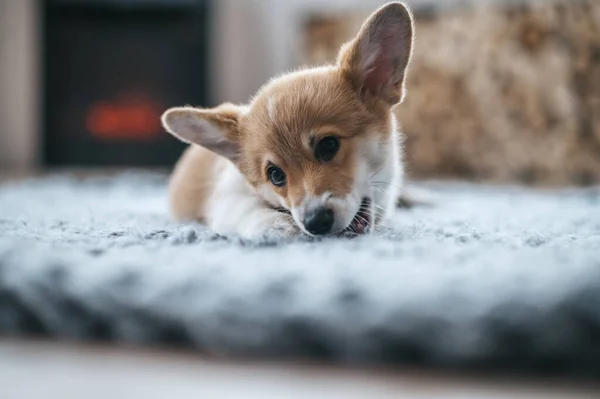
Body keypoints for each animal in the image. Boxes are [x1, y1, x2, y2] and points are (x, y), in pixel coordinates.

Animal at [162, 2, 414, 241]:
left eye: (328, 145)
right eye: (275, 175)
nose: (316, 223)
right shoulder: (227, 198)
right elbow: (249, 209)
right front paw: (279, 226)